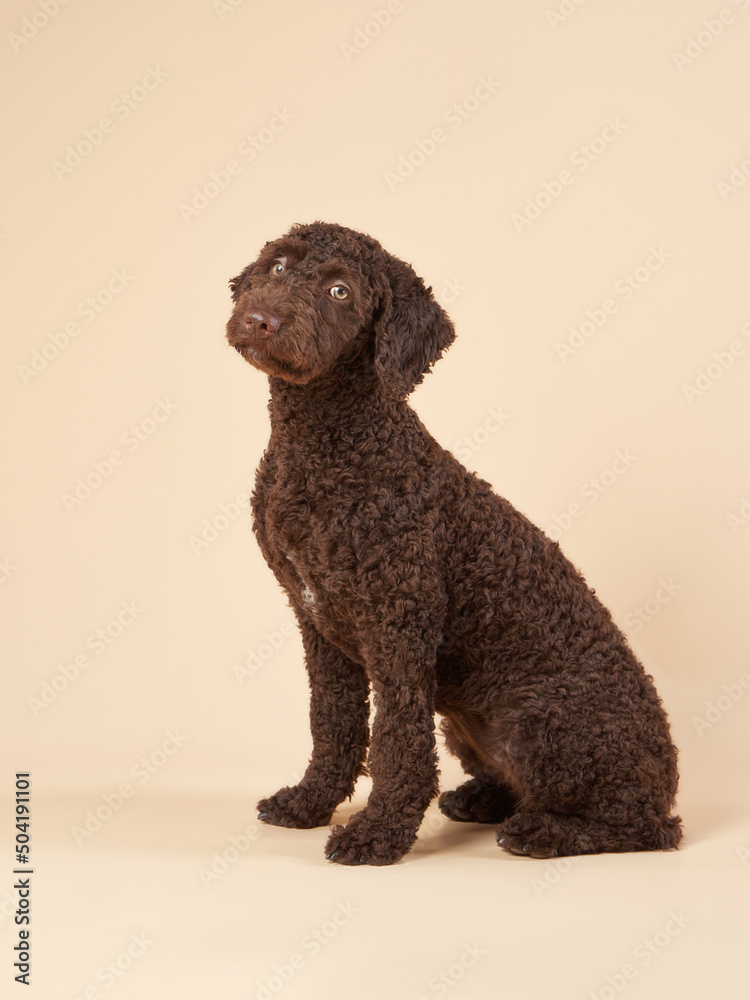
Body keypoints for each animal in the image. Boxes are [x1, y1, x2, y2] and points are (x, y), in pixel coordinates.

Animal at [223, 223, 680, 864]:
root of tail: (668, 775)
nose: (259, 319)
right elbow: (332, 724)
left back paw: (542, 832)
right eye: (280, 267)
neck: (326, 449)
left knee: (642, 827)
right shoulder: (317, 624)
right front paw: (310, 803)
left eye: (340, 291)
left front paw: (377, 834)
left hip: (542, 722)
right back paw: (482, 801)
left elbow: (397, 743)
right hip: (470, 722)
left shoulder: (400, 626)